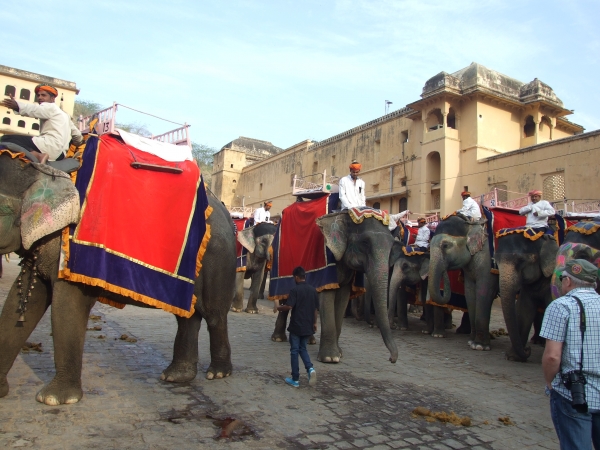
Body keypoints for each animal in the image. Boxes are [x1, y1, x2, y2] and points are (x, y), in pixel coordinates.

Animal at [0, 150, 237, 404]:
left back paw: (217, 373)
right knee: (187, 315)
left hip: (217, 256)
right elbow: (21, 302)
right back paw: (176, 377)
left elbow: (68, 304)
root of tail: (225, 212)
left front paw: (55, 399)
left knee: (213, 314)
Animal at [428, 214, 500, 352]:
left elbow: (484, 291)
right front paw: (471, 341)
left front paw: (480, 346)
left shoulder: (487, 262)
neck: (470, 224)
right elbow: (469, 292)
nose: (445, 271)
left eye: (445, 245)